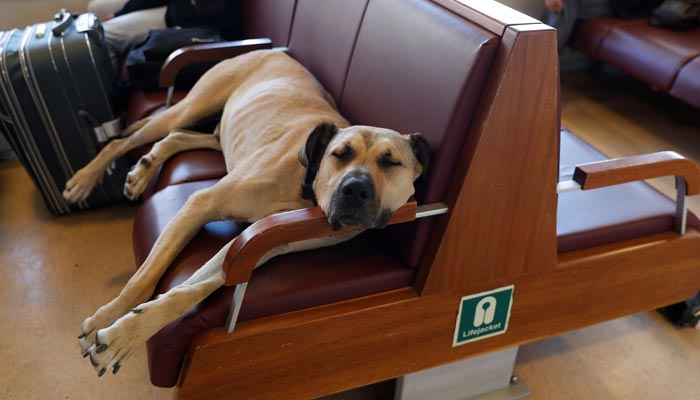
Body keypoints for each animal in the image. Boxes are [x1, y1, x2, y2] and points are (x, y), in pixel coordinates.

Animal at [65, 49, 430, 376]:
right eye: (340, 154)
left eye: (391, 162)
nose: (355, 189)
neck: (304, 189)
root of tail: (273, 50)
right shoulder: (200, 204)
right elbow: (143, 278)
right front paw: (107, 320)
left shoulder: (250, 248)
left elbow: (192, 289)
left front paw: (126, 335)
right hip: (190, 106)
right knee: (125, 141)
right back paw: (84, 180)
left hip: (219, 133)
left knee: (180, 137)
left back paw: (143, 169)